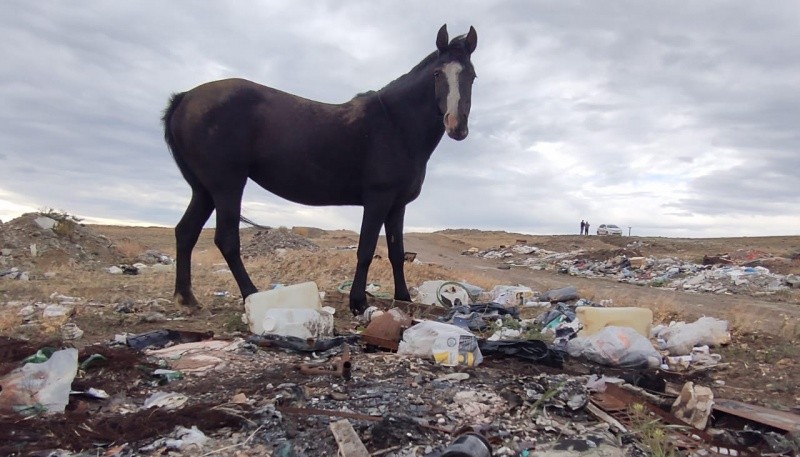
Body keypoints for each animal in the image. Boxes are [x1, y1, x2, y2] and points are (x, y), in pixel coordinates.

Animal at [161, 25, 476, 316]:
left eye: (471, 75)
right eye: (437, 73)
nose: (456, 126)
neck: (396, 125)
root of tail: (185, 98)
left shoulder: (397, 205)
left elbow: (396, 253)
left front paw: (404, 299)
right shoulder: (377, 200)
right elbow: (366, 250)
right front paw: (358, 302)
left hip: (204, 190)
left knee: (185, 232)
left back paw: (186, 298)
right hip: (227, 185)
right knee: (226, 240)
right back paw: (252, 295)